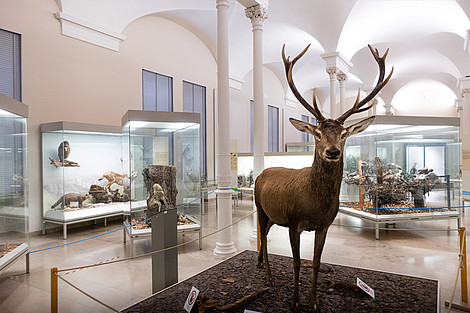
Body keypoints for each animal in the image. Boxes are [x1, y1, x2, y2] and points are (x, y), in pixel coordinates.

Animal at [255, 43, 392, 310]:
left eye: (344, 133)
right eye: (317, 133)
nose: (333, 151)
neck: (315, 204)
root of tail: (261, 173)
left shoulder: (324, 225)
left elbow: (317, 263)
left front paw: (314, 302)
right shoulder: (294, 222)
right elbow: (297, 262)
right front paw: (295, 302)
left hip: (274, 215)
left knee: (264, 237)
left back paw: (260, 265)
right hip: (261, 209)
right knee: (263, 238)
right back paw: (268, 276)